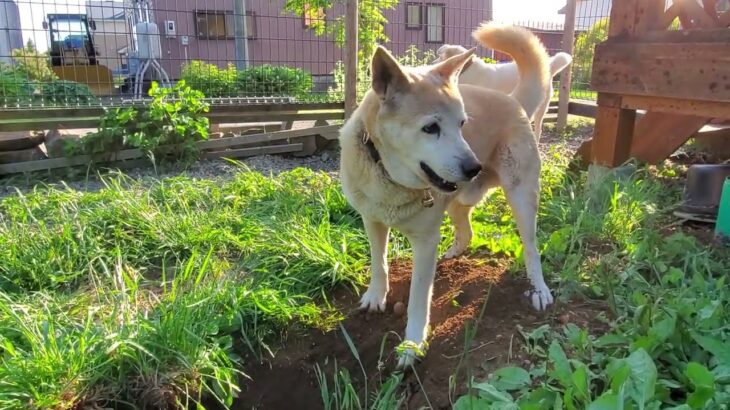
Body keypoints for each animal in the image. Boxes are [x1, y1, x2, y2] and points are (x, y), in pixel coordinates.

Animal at [340, 24, 552, 366]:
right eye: (431, 128)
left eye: (462, 124)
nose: (473, 167)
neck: (388, 175)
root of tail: (511, 99)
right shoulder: (372, 220)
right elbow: (379, 262)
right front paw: (375, 296)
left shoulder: (425, 241)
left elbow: (418, 299)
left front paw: (412, 346)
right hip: (458, 201)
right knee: (466, 229)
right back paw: (452, 254)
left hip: (521, 197)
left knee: (532, 248)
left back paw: (539, 290)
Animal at [436, 43, 572, 139]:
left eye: (440, 57)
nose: (432, 62)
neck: (468, 68)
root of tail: (548, 68)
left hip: (541, 109)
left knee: (538, 129)